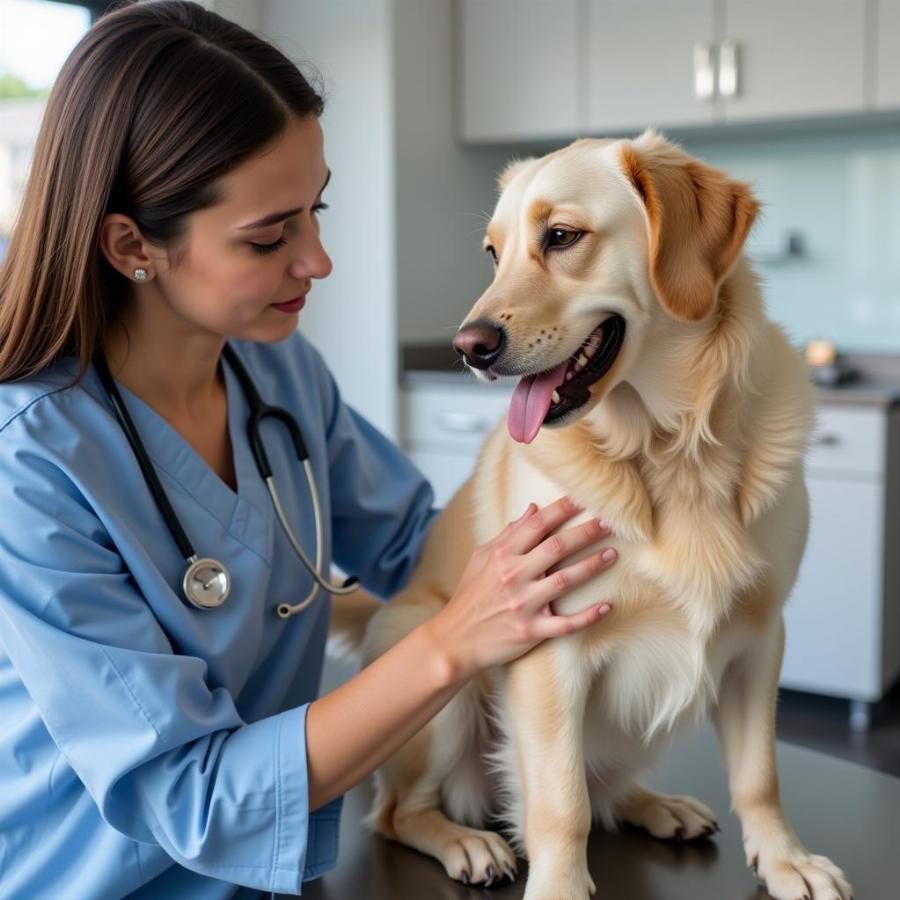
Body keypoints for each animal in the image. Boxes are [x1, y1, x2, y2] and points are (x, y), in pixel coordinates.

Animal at [326, 128, 856, 900]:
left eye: (562, 236)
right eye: (494, 253)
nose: (467, 349)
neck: (671, 450)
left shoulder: (760, 637)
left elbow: (759, 776)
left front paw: (786, 860)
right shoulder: (548, 647)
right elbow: (560, 802)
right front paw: (558, 885)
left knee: (608, 789)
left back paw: (656, 805)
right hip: (434, 664)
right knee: (400, 811)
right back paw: (466, 841)